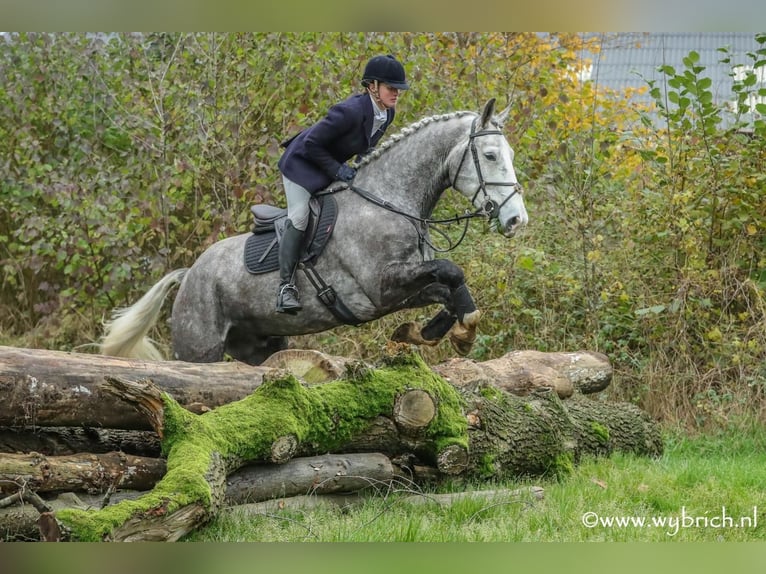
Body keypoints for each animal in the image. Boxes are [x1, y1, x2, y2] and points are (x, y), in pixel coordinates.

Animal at [100, 98, 528, 365]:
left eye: (509, 155)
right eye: (490, 156)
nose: (516, 220)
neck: (388, 200)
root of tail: (189, 274)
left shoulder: (401, 288)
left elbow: (448, 286)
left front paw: (430, 332)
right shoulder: (380, 287)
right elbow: (452, 271)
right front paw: (460, 332)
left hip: (258, 344)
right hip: (199, 347)